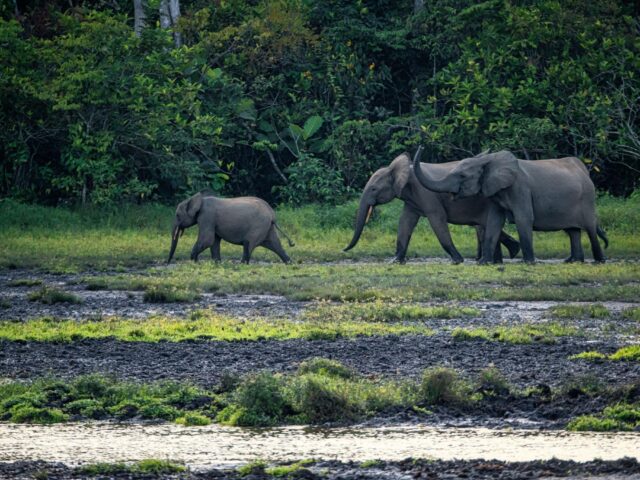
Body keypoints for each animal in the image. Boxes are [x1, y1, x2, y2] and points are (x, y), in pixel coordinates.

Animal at [343, 151, 521, 263]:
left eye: (373, 189)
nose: (343, 250)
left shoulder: (426, 193)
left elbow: (437, 220)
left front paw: (457, 261)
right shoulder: (412, 199)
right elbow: (405, 222)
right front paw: (394, 262)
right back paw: (508, 254)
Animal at [412, 148, 608, 264]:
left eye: (462, 176)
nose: (421, 147)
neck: (489, 160)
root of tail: (584, 170)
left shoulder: (520, 188)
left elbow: (523, 218)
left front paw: (528, 262)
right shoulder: (495, 191)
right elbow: (494, 221)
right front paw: (484, 263)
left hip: (587, 199)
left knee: (590, 228)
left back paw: (599, 260)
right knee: (573, 230)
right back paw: (573, 261)